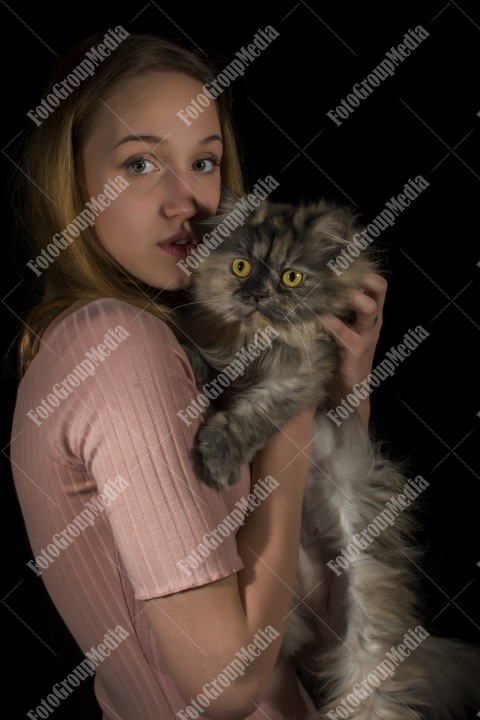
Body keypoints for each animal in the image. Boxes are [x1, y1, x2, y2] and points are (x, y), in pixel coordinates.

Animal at [176, 188, 480, 716]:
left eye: (292, 277)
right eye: (241, 267)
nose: (257, 295)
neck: (257, 344)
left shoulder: (302, 378)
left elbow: (251, 414)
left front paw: (218, 454)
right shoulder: (225, 347)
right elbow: (206, 362)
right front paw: (190, 364)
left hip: (367, 631)